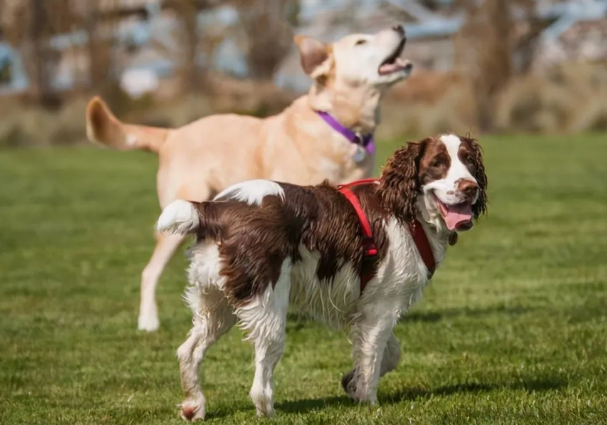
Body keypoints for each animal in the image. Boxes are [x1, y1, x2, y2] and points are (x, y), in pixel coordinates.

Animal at [85, 25, 414, 332]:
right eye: (361, 42)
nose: (399, 26)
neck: (341, 127)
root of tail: (172, 134)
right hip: (176, 223)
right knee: (149, 271)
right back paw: (149, 321)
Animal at [157, 134, 490, 420]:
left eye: (469, 161)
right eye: (437, 163)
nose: (470, 187)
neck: (407, 210)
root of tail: (213, 209)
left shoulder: (369, 307)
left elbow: (391, 353)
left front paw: (350, 382)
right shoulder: (382, 307)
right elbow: (372, 358)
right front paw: (368, 401)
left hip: (217, 303)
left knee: (188, 351)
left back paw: (194, 406)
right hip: (267, 306)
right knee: (260, 378)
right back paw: (268, 411)